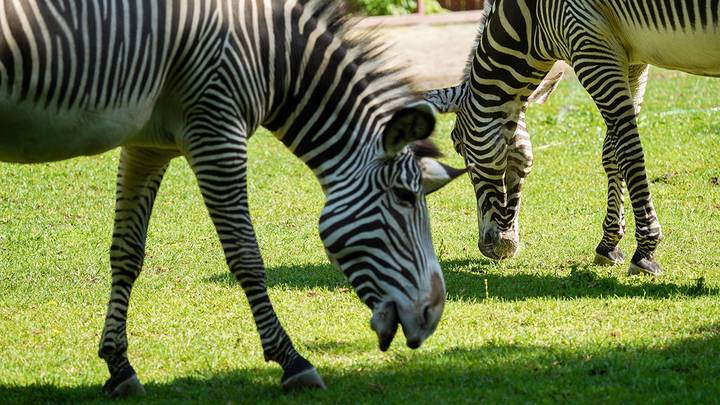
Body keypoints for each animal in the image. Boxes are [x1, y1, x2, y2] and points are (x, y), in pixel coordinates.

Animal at [0, 0, 462, 394]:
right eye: (404, 197)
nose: (433, 314)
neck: (271, 55)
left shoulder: (147, 145)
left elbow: (127, 253)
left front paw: (119, 366)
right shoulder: (216, 130)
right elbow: (246, 255)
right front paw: (292, 361)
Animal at [424, 0, 720, 274]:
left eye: (458, 146)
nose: (495, 248)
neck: (530, 23)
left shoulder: (587, 42)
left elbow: (628, 150)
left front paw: (646, 250)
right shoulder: (633, 59)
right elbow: (611, 151)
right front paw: (609, 244)